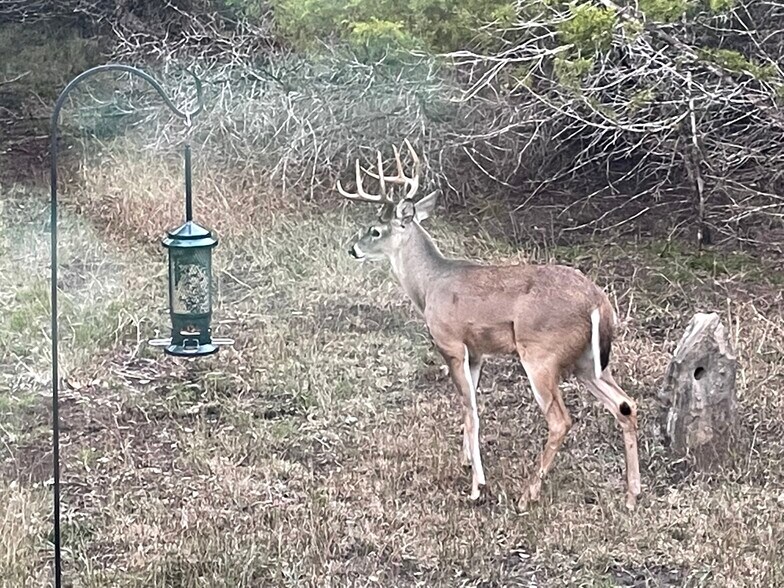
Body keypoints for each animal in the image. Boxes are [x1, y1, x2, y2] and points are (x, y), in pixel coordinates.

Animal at [336, 140, 641, 510]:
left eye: (375, 230)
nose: (352, 249)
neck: (429, 284)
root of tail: (598, 301)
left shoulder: (450, 342)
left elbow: (471, 409)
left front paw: (477, 485)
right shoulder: (476, 350)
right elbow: (469, 404)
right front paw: (467, 459)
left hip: (541, 354)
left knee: (561, 420)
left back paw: (527, 495)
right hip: (589, 362)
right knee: (626, 405)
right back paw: (632, 495)